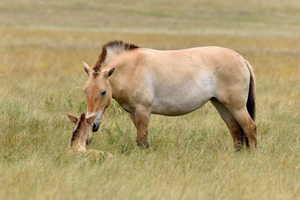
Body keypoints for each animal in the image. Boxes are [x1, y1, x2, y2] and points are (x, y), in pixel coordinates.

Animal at [82, 40, 258, 151]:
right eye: (85, 91)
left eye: (103, 92)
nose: (93, 125)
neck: (131, 69)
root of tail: (242, 59)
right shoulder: (133, 113)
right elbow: (142, 138)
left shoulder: (143, 110)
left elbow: (142, 140)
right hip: (222, 105)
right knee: (235, 130)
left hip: (237, 106)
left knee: (250, 128)